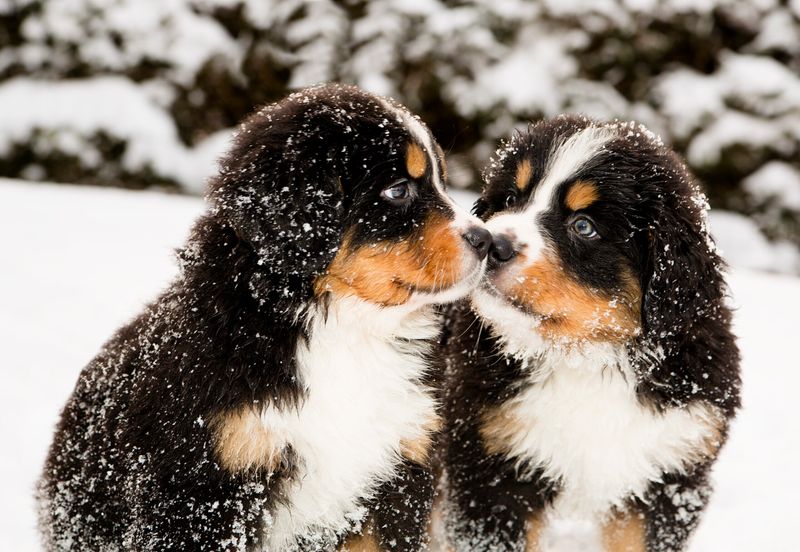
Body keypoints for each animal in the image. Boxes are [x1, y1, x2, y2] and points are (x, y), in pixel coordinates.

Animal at [37, 83, 490, 552]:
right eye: (399, 190)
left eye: (441, 180)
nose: (487, 240)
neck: (345, 330)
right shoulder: (207, 487)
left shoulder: (398, 475)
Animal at [440, 116, 740, 552]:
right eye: (511, 197)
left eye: (584, 226)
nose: (493, 242)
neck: (586, 358)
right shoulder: (492, 469)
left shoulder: (669, 475)